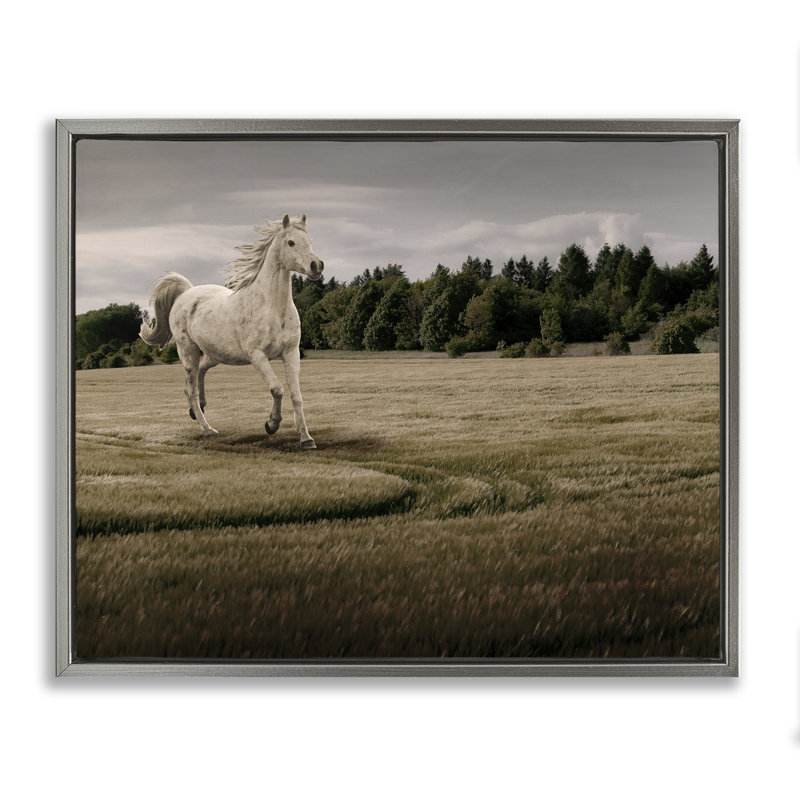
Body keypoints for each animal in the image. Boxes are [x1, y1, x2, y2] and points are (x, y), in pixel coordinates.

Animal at [139, 213, 324, 448]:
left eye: (309, 241)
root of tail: (186, 293)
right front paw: (271, 424)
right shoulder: (257, 356)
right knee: (190, 389)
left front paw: (306, 439)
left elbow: (296, 396)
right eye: (291, 242)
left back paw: (199, 408)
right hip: (188, 351)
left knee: (201, 372)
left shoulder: (291, 353)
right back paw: (208, 429)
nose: (316, 266)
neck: (272, 308)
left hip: (216, 354)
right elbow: (277, 388)